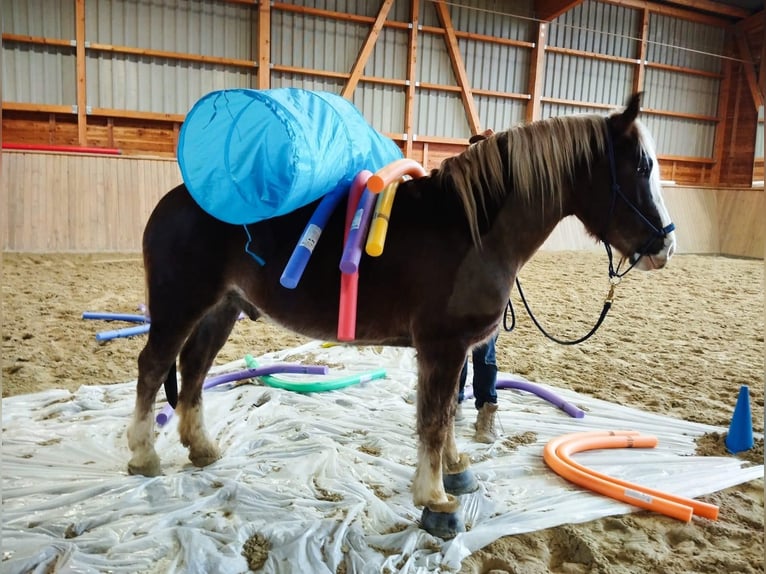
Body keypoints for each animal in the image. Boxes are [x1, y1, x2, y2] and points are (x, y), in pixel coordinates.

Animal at [126, 93, 680, 540]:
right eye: (640, 167)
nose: (665, 246)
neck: (471, 229)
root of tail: (173, 201)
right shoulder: (442, 346)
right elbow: (433, 419)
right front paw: (435, 501)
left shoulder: (455, 349)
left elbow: (449, 410)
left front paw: (456, 469)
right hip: (180, 307)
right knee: (153, 367)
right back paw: (143, 455)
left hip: (222, 310)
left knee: (194, 369)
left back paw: (202, 448)